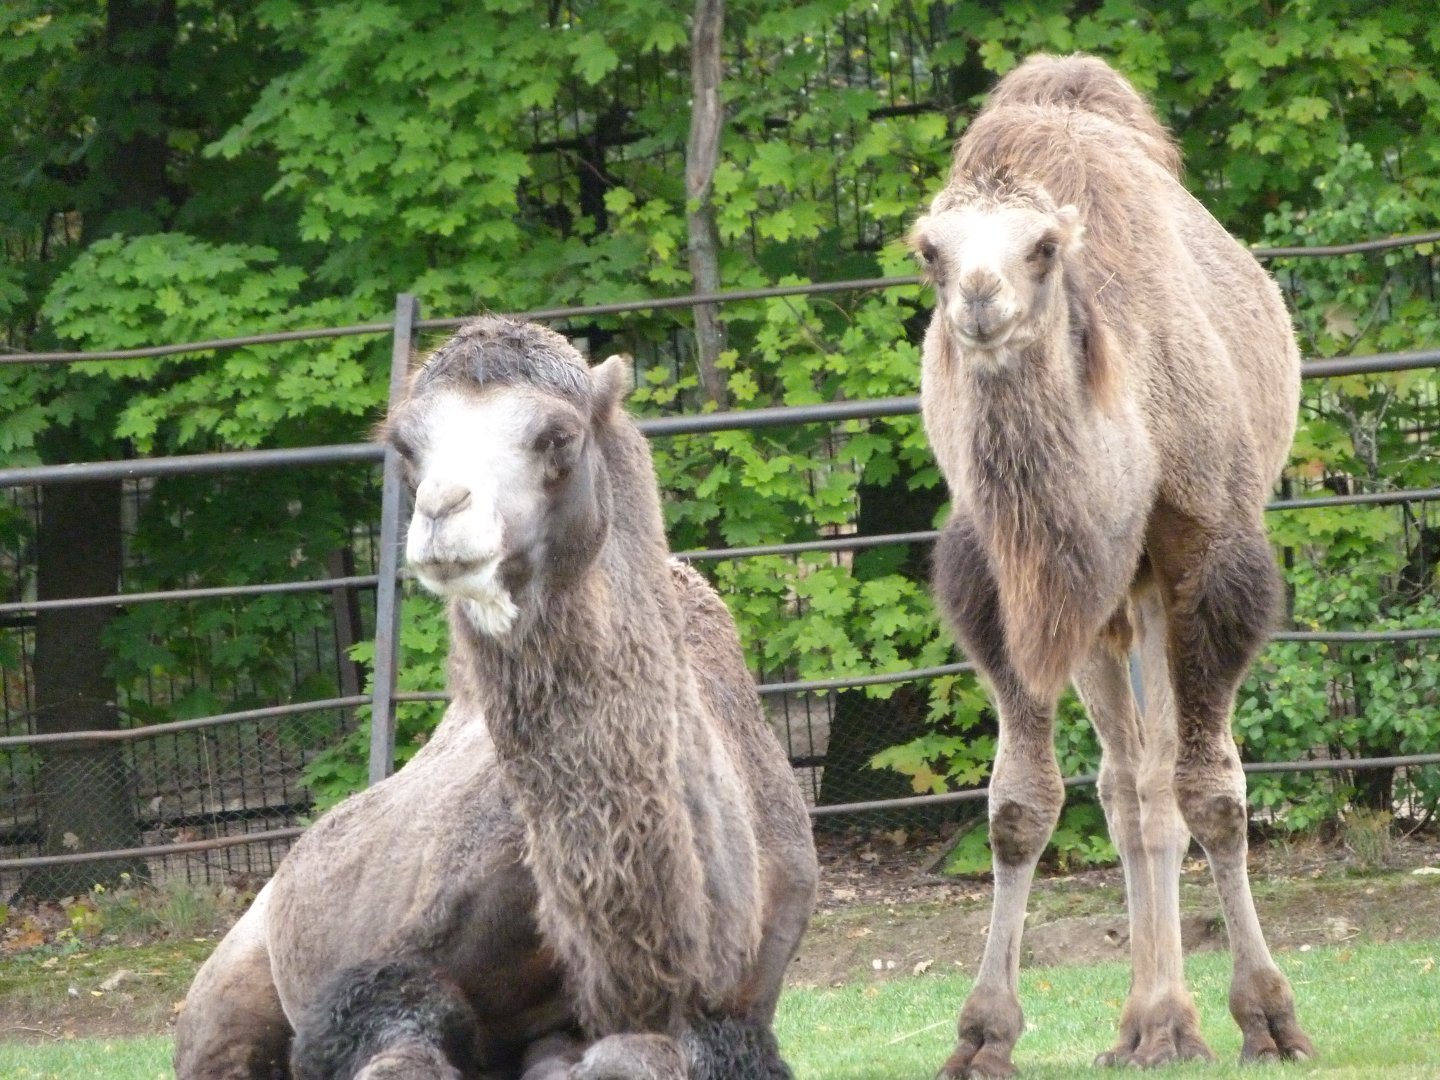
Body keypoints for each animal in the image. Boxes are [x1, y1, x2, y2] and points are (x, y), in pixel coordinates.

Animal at [174, 316, 818, 1079]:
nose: (442, 510)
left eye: (559, 436)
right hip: (227, 990)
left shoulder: (736, 1008)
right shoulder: (377, 982)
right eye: (406, 445)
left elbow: (628, 1057)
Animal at [908, 54, 1314, 1076]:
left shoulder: (1206, 555)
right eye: (931, 250)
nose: (979, 300)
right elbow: (1021, 805)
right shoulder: (1018, 585)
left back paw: (1173, 1021)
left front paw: (1268, 1017)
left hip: (1152, 593)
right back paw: (1149, 1023)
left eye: (1044, 247)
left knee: (1163, 776)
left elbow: (1213, 791)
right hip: (1108, 610)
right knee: (1126, 786)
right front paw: (983, 1032)